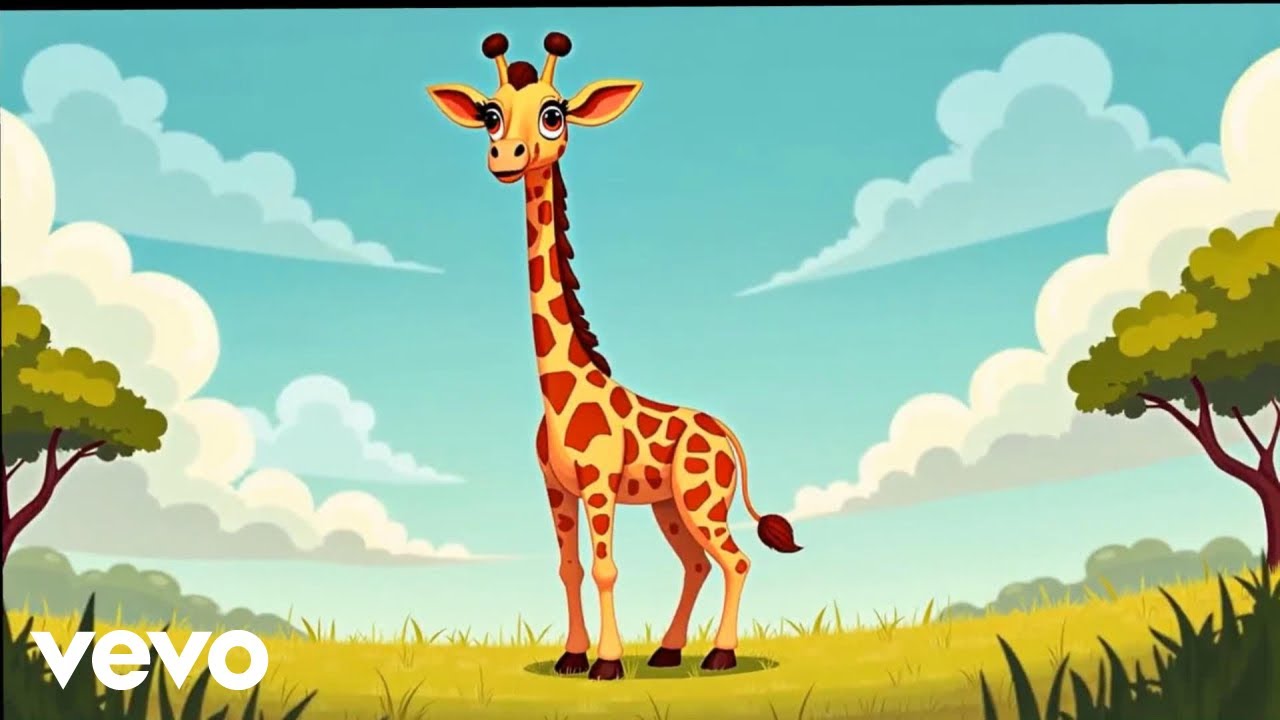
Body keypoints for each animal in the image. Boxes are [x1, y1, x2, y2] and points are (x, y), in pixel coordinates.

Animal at [427, 31, 803, 681]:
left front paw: (605, 664)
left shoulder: (599, 484)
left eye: (553, 115)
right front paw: (572, 657)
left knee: (735, 560)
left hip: (703, 498)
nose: (505, 156)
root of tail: (725, 433)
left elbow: (605, 569)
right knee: (697, 563)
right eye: (490, 114)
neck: (558, 391)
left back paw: (720, 655)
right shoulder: (555, 487)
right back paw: (667, 651)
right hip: (670, 505)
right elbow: (569, 567)